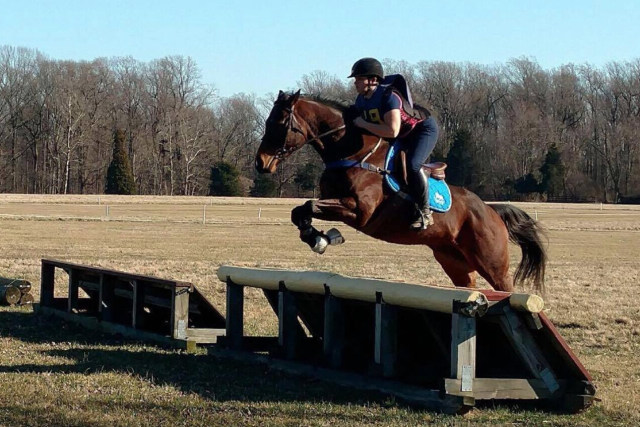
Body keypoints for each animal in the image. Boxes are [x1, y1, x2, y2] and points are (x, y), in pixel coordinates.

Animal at [255, 90, 544, 294]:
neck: (352, 153)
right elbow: (299, 210)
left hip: (491, 262)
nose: (261, 162)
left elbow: (309, 205)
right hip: (454, 261)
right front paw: (318, 237)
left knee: (506, 288)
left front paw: (323, 239)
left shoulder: (358, 211)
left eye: (280, 123)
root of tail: (491, 211)